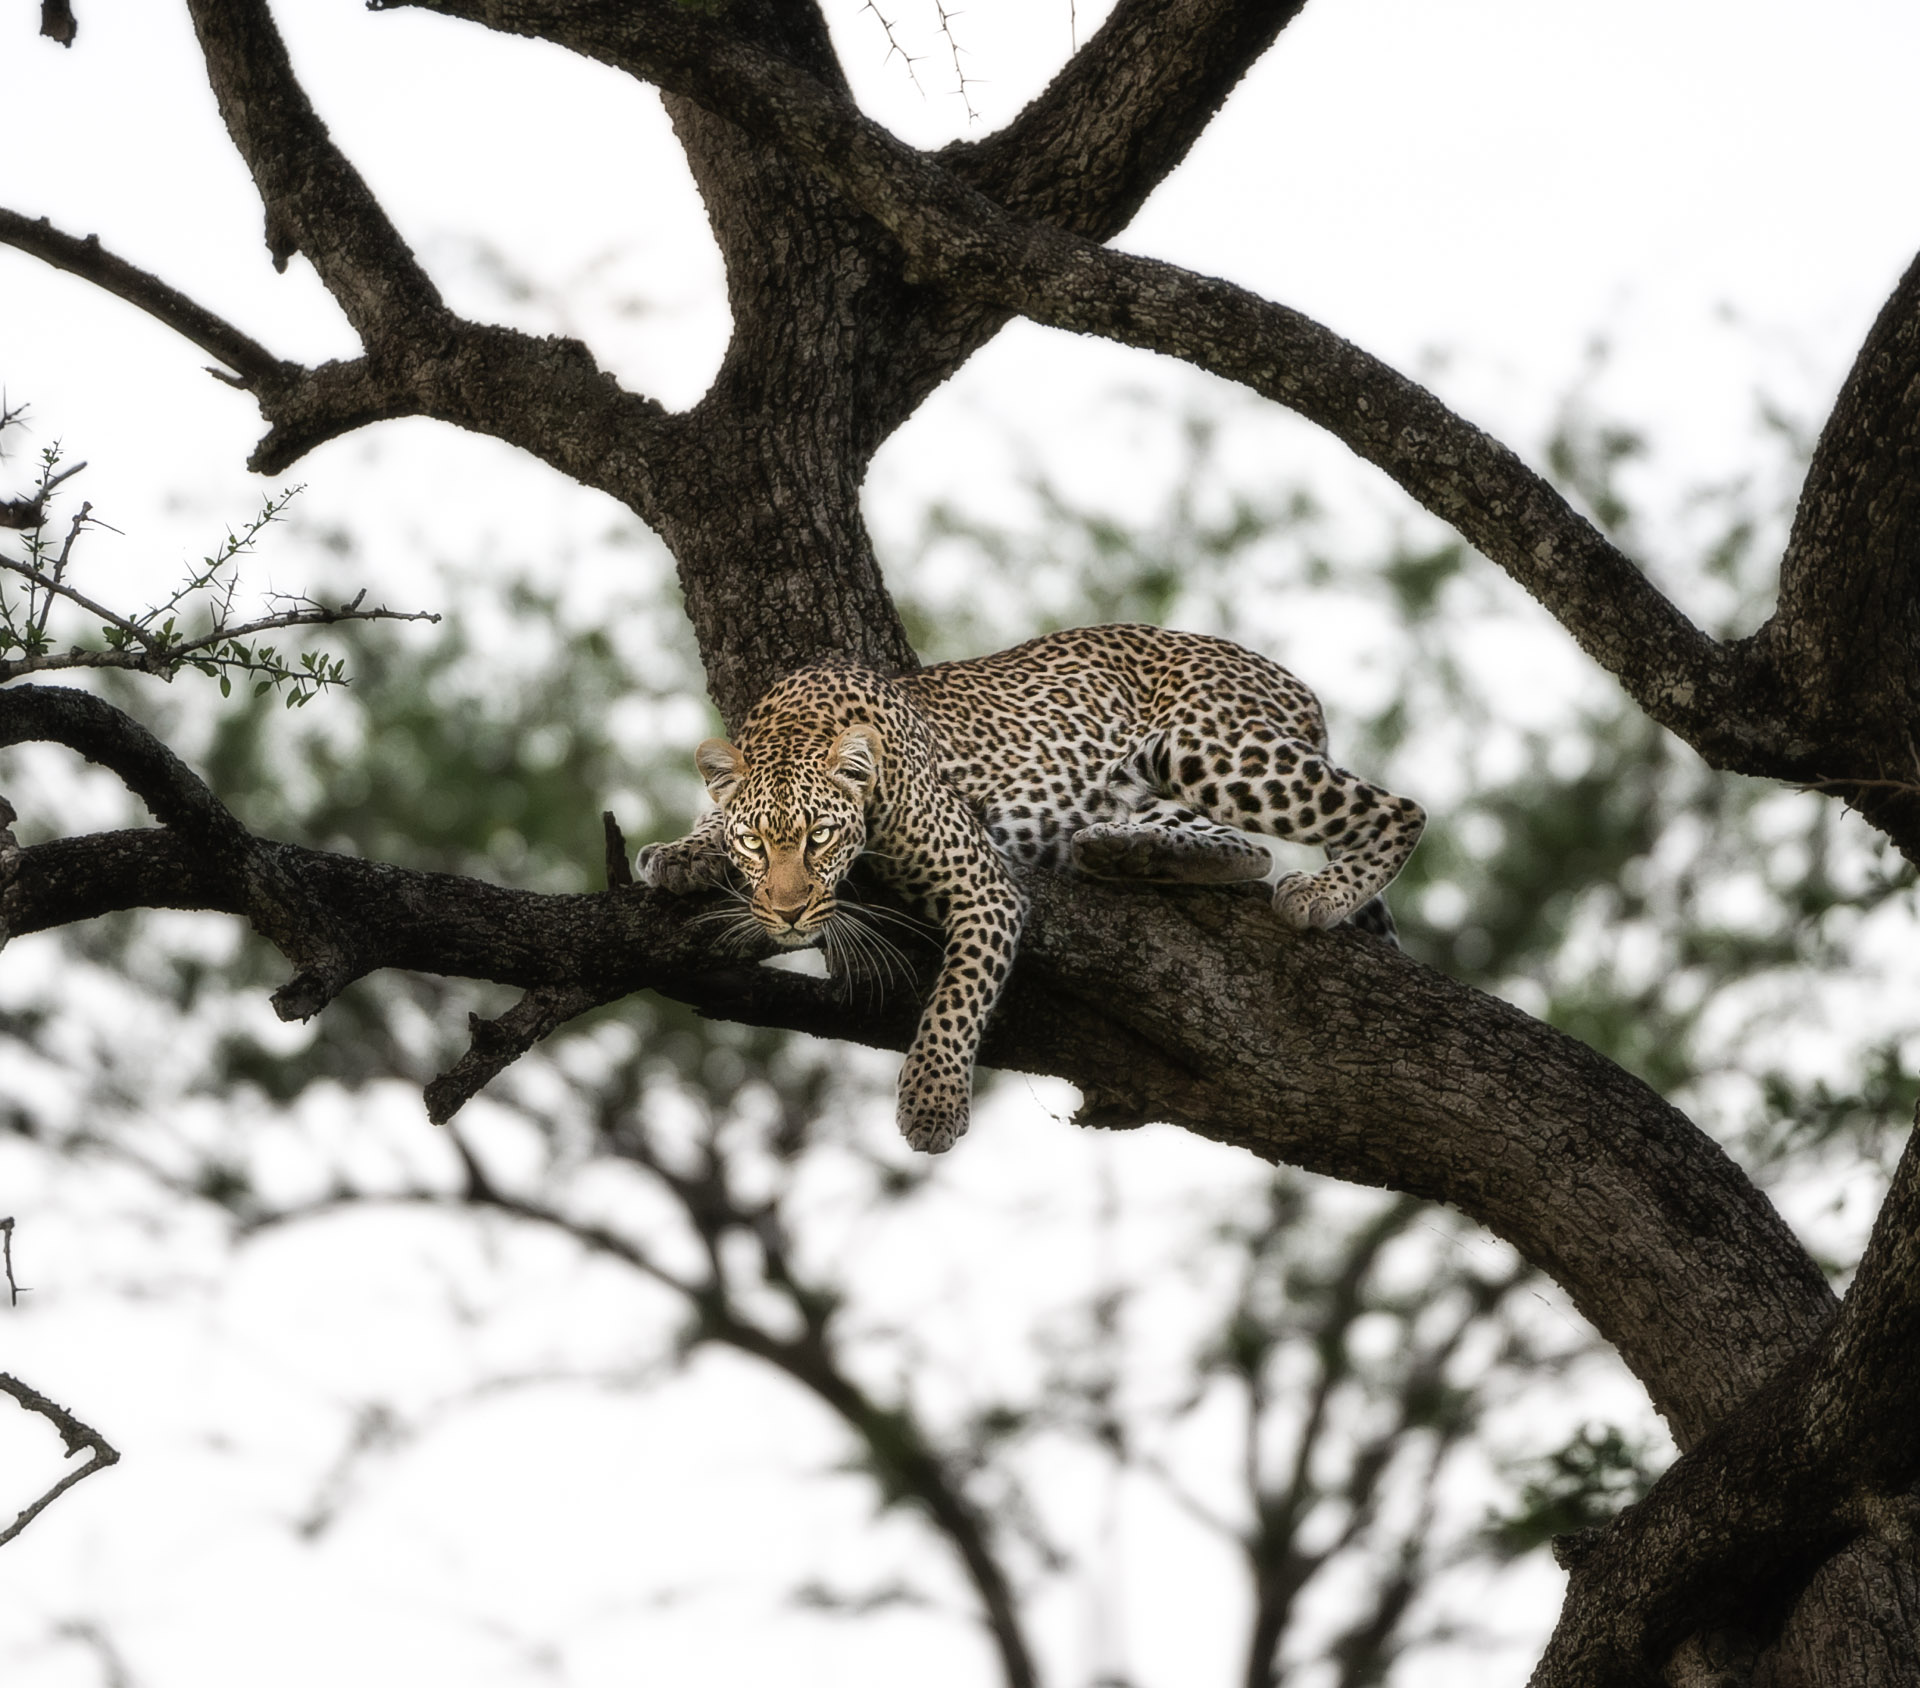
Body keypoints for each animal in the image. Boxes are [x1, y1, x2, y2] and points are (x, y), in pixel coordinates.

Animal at [640, 624, 1424, 1155]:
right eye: (755, 843)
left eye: (821, 837)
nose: (789, 911)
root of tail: (1295, 685)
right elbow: (713, 816)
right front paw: (680, 852)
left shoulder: (983, 884)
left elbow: (955, 1002)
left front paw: (932, 1105)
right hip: (1151, 782)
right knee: (1248, 850)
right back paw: (1124, 852)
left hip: (1210, 747)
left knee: (1397, 811)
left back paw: (1321, 894)